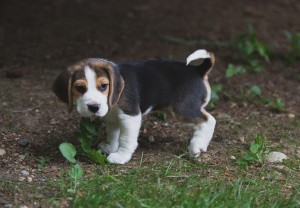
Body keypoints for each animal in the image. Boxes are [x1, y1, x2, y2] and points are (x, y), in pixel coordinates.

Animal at [53, 49, 216, 164]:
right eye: (80, 88)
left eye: (104, 86)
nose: (94, 107)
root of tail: (197, 70)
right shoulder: (112, 118)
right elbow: (113, 134)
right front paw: (110, 147)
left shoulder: (130, 116)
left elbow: (125, 139)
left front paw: (121, 156)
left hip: (182, 109)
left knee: (209, 120)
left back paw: (196, 146)